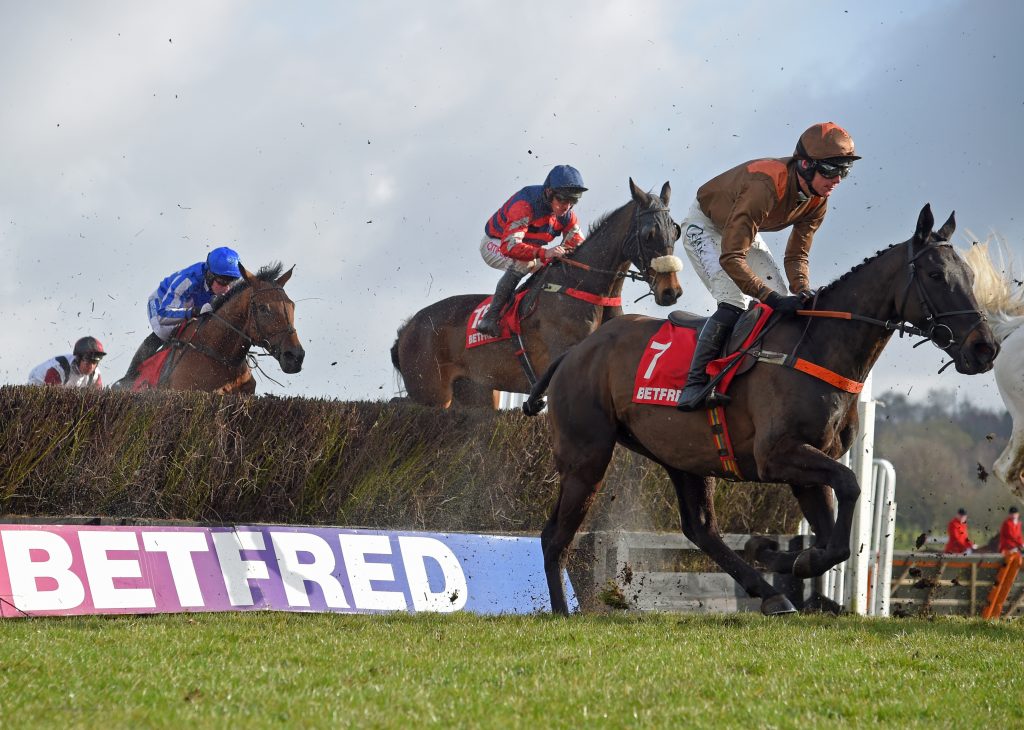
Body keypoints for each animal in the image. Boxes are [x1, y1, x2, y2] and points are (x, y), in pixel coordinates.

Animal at [393, 179, 688, 407]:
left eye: (676, 231)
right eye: (649, 233)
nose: (670, 292)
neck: (584, 288)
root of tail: (408, 327)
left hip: (476, 393)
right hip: (431, 394)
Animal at [524, 204, 995, 614]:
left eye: (971, 275)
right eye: (935, 274)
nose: (984, 348)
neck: (819, 345)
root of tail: (573, 353)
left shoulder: (809, 465)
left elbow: (835, 541)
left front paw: (781, 558)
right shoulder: (778, 455)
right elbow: (848, 489)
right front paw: (782, 556)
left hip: (683, 456)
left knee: (701, 529)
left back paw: (769, 594)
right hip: (587, 455)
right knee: (554, 536)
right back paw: (563, 612)